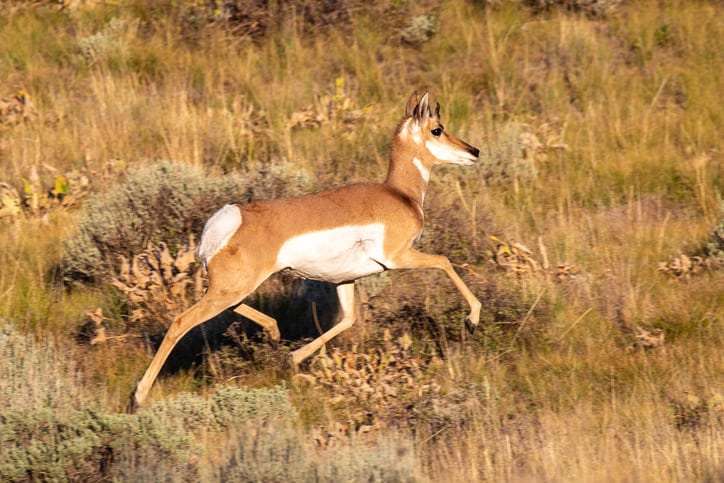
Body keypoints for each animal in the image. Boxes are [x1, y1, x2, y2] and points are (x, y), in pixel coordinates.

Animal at [132, 92, 480, 410]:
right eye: (437, 128)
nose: (474, 151)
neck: (398, 194)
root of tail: (230, 217)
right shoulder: (398, 258)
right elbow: (445, 262)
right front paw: (472, 320)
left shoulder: (345, 281)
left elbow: (348, 319)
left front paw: (293, 357)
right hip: (230, 288)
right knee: (181, 322)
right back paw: (138, 397)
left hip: (230, 288)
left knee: (233, 307)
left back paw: (273, 332)